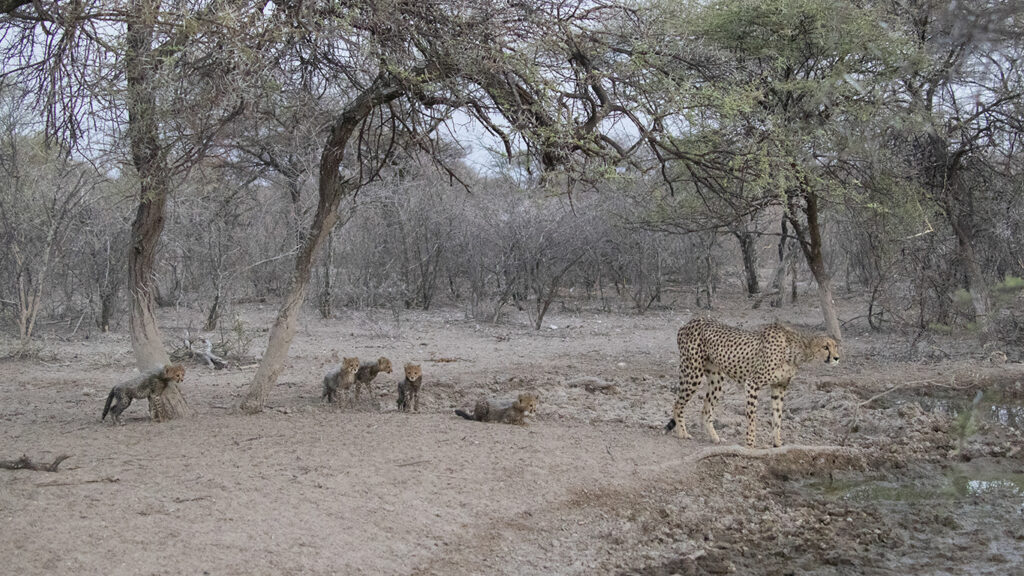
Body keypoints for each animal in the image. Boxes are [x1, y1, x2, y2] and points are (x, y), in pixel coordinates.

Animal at [663, 315, 839, 446]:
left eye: (835, 346)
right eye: (825, 347)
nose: (837, 358)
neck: (795, 351)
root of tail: (689, 322)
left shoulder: (779, 387)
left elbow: (777, 417)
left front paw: (777, 443)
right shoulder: (753, 383)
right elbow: (752, 416)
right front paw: (750, 443)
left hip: (717, 379)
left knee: (706, 410)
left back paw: (715, 438)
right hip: (693, 372)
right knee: (677, 403)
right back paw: (682, 433)